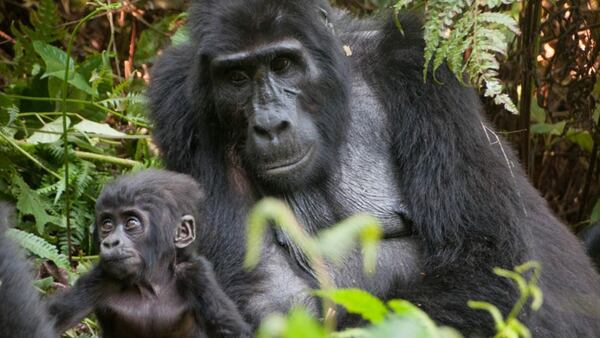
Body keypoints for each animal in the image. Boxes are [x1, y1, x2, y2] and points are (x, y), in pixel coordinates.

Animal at [47, 170, 251, 336]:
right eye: (107, 224)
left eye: (131, 223)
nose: (111, 242)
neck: (152, 282)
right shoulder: (101, 277)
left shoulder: (196, 273)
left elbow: (232, 330)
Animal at [146, 1, 600, 336]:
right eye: (237, 77)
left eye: (283, 65)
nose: (270, 125)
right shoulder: (177, 99)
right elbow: (265, 292)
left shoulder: (417, 64)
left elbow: (482, 262)